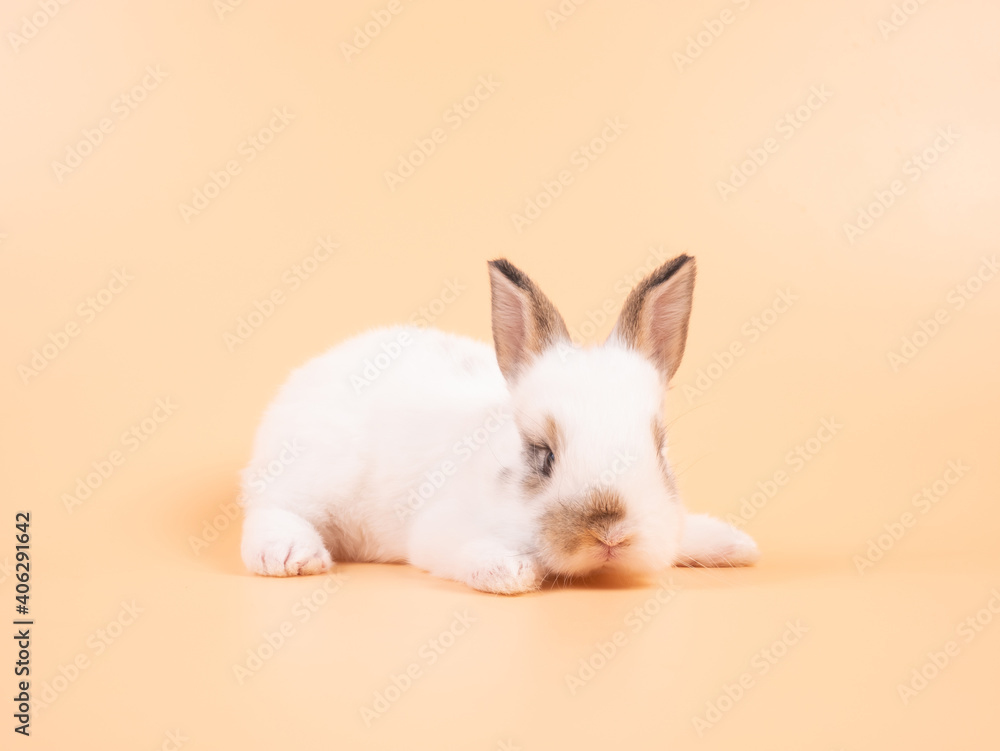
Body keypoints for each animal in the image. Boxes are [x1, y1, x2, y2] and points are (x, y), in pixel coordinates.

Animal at [239, 254, 760, 594]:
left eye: (660, 451)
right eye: (543, 456)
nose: (611, 534)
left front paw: (735, 544)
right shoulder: (438, 531)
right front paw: (512, 573)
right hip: (316, 474)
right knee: (270, 508)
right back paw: (289, 556)